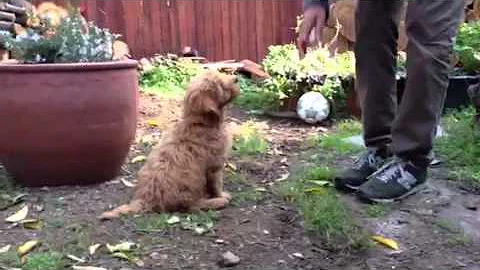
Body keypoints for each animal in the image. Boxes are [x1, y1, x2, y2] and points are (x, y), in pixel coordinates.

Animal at [100, 70, 240, 219]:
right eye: (220, 85)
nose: (236, 79)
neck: (199, 123)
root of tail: (146, 200)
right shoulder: (215, 165)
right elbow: (217, 185)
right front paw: (221, 195)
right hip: (192, 184)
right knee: (190, 206)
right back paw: (217, 202)